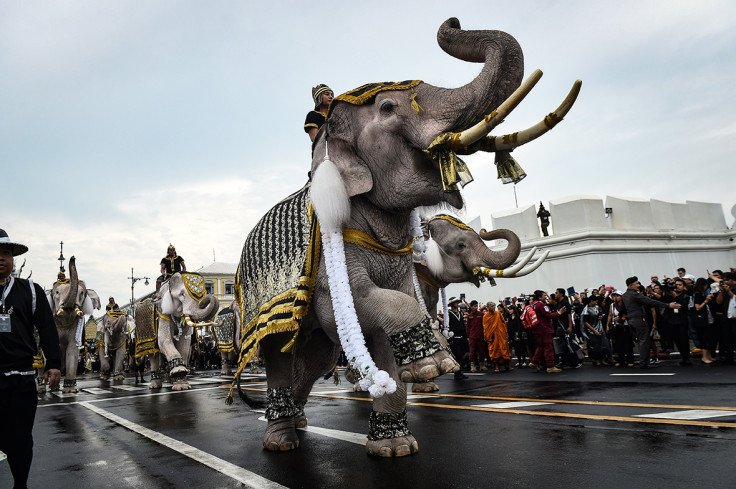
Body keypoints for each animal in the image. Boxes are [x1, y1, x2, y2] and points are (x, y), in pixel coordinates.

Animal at [236, 17, 580, 456]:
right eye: (387, 108)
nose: (453, 21)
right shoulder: (333, 258)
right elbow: (368, 303)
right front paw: (436, 367)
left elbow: (391, 319)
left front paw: (397, 445)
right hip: (261, 313)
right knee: (280, 356)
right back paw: (281, 441)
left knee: (316, 357)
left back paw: (297, 420)